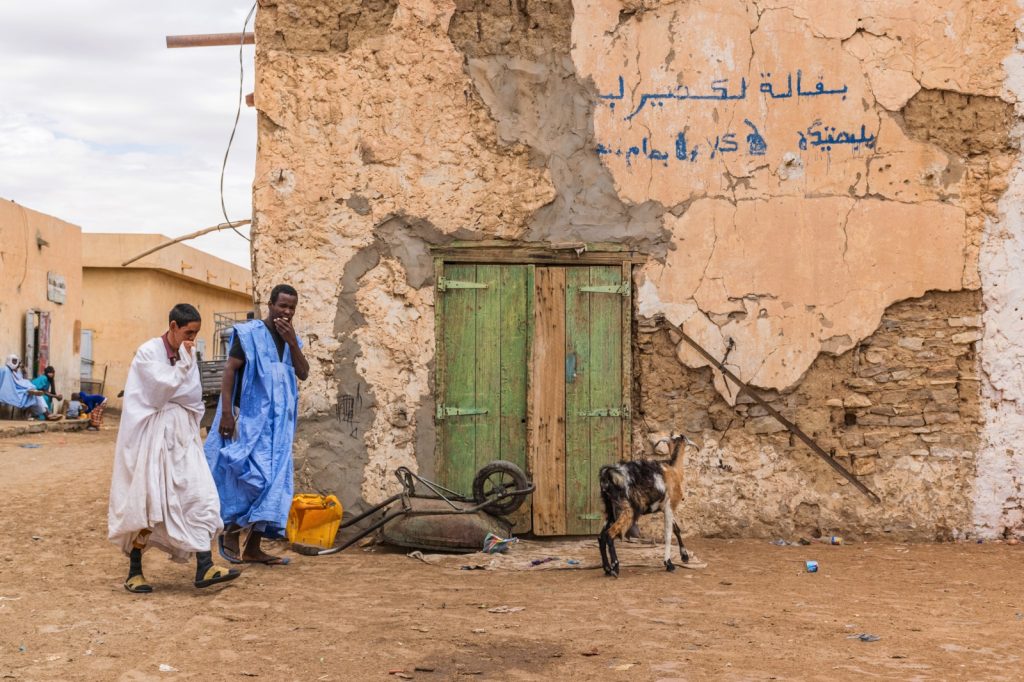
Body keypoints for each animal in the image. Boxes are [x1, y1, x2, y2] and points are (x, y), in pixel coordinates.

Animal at [598, 430, 700, 573]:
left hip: (610, 510)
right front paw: (669, 563)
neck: (673, 468)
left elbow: (676, 529)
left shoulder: (666, 507)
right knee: (609, 535)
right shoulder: (670, 507)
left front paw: (684, 556)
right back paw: (615, 567)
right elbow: (668, 534)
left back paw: (607, 568)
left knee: (601, 537)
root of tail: (608, 474)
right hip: (627, 510)